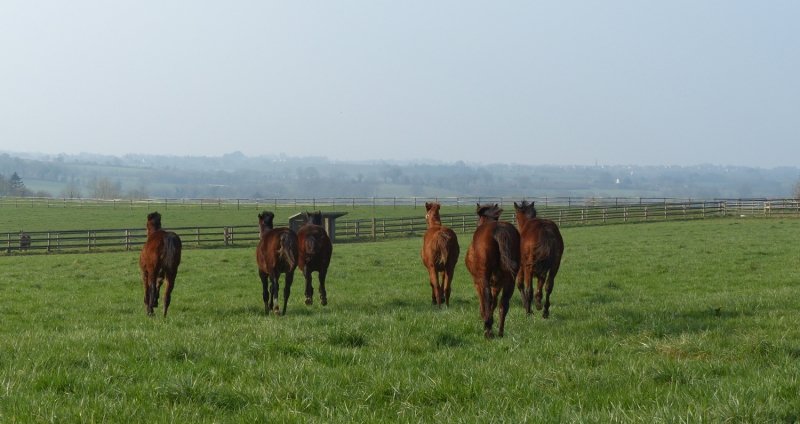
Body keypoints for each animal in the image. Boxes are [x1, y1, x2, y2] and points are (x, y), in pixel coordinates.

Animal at [465, 203, 520, 338]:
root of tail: (498, 230)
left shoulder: (477, 282)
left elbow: (484, 304)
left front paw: (485, 319)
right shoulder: (497, 284)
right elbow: (494, 304)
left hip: (484, 278)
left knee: (487, 297)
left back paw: (488, 329)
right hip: (510, 279)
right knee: (504, 303)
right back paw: (500, 332)